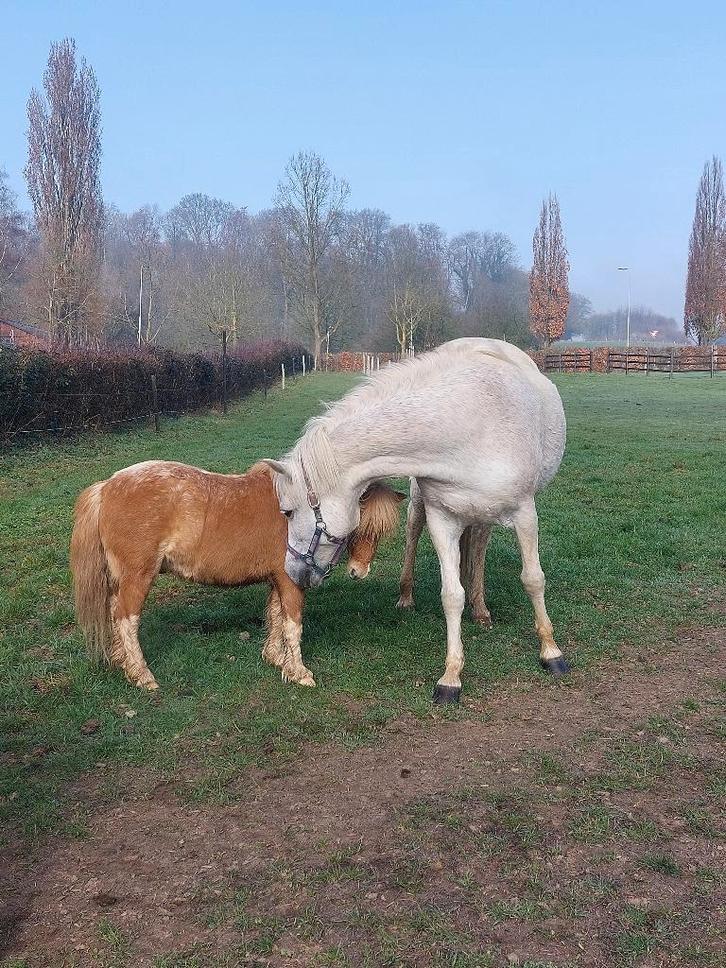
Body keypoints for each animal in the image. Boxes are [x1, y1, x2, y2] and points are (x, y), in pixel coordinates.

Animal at [70, 460, 404, 691]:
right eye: (361, 527)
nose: (359, 571)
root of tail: (107, 487)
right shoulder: (291, 581)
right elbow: (292, 624)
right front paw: (299, 672)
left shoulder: (277, 579)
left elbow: (275, 616)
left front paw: (276, 659)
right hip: (138, 577)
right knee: (126, 620)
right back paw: (142, 675)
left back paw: (122, 663)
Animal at [263, 338, 567, 703]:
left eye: (288, 511)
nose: (292, 572)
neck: (469, 425)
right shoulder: (442, 518)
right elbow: (451, 595)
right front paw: (451, 677)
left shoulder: (525, 514)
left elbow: (533, 579)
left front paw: (551, 651)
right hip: (422, 504)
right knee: (414, 535)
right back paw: (408, 596)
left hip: (485, 515)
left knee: (479, 549)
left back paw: (481, 608)